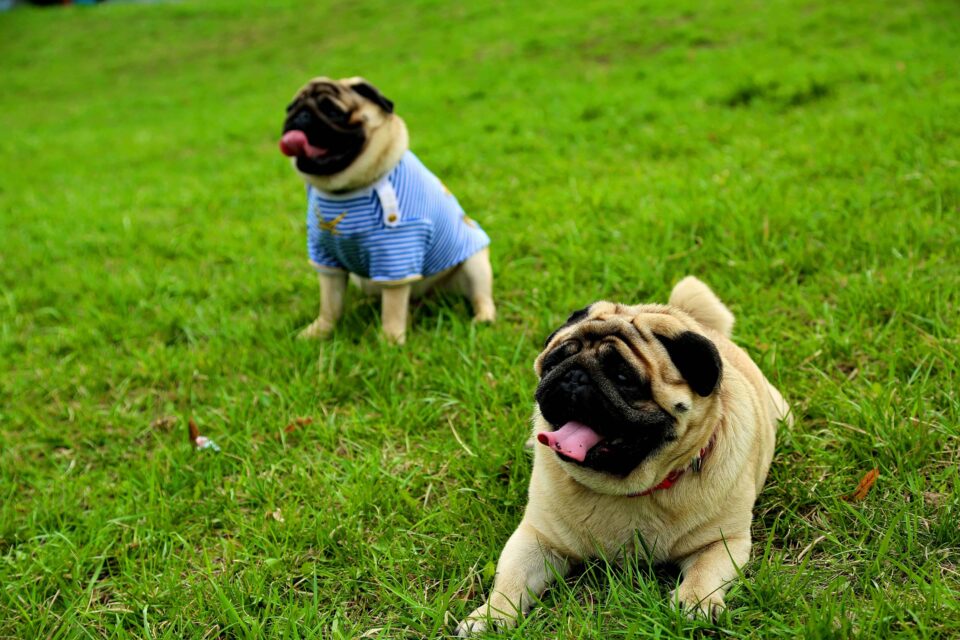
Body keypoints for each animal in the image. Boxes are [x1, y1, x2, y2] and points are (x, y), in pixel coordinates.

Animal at [280, 77, 496, 342]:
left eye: (332, 111)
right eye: (290, 108)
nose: (300, 116)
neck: (343, 191)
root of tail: (427, 297)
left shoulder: (396, 253)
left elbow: (392, 307)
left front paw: (390, 341)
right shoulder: (326, 257)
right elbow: (330, 304)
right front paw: (319, 332)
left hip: (475, 263)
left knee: (480, 295)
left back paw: (483, 318)